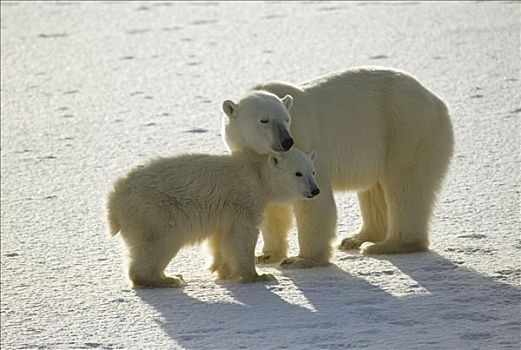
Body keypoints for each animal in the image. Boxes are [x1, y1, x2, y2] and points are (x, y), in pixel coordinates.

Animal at [105, 148, 316, 288]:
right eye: (298, 173)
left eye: (313, 172)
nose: (315, 190)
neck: (257, 174)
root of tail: (114, 198)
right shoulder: (244, 200)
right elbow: (242, 236)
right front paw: (259, 276)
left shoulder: (226, 211)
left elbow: (221, 238)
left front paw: (223, 271)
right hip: (154, 210)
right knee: (159, 242)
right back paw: (168, 279)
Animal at [221, 66, 452, 268]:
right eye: (264, 120)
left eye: (286, 119)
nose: (286, 141)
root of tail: (436, 100)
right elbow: (272, 205)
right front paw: (266, 255)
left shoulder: (306, 138)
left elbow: (313, 202)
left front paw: (301, 260)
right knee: (374, 190)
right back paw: (357, 238)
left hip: (406, 128)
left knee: (405, 186)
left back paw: (386, 245)